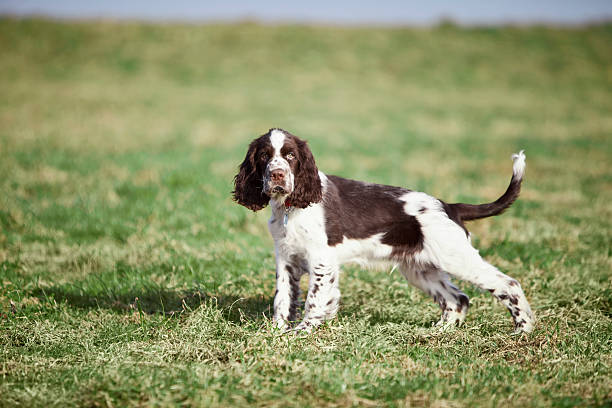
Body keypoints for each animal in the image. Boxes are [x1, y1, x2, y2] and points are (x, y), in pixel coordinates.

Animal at [232, 128, 532, 334]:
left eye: (291, 155)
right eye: (264, 156)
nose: (277, 175)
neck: (291, 206)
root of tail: (449, 206)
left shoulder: (321, 260)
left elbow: (314, 299)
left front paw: (303, 331)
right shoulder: (286, 258)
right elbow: (283, 298)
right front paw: (276, 331)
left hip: (456, 257)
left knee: (508, 284)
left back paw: (523, 329)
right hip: (420, 268)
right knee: (457, 299)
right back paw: (441, 331)